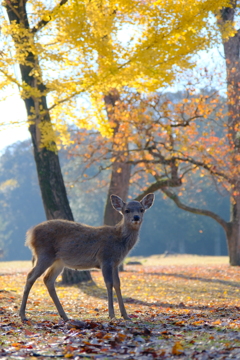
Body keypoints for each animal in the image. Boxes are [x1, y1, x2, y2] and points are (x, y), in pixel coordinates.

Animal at [18, 193, 154, 322]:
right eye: (127, 210)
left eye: (141, 209)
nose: (136, 217)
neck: (119, 240)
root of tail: (30, 235)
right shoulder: (105, 259)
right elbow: (109, 283)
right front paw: (112, 315)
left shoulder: (115, 263)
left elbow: (117, 284)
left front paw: (125, 316)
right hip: (44, 254)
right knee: (30, 276)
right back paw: (23, 315)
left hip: (58, 261)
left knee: (48, 280)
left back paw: (64, 316)